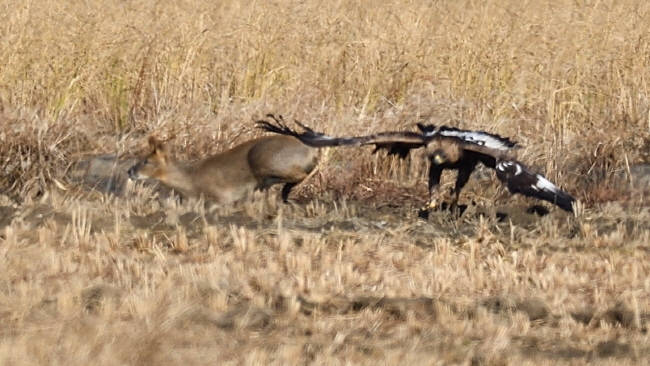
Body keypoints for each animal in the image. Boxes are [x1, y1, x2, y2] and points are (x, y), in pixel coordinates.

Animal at [126, 134, 316, 204]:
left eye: (146, 161)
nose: (130, 171)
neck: (190, 180)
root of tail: (309, 150)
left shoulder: (222, 197)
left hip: (265, 161)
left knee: (302, 173)